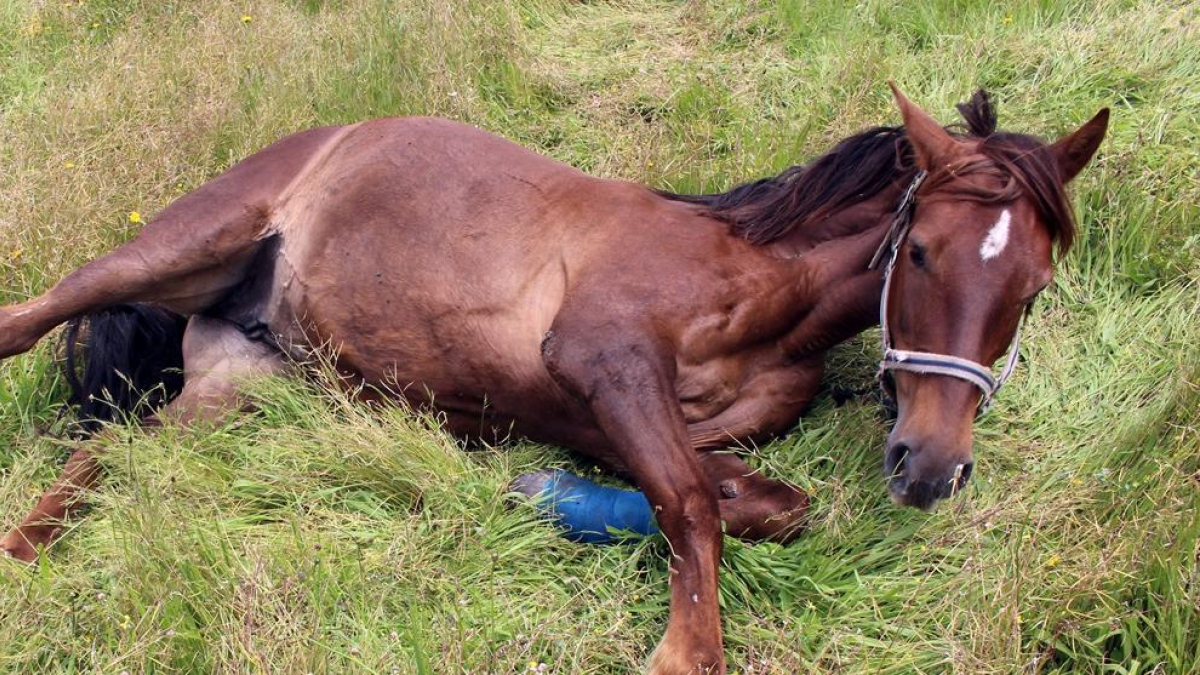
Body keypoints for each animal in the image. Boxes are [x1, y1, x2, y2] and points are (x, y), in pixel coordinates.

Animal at [0, 83, 1106, 675]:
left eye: (1034, 284)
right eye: (919, 252)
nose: (930, 467)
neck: (760, 275)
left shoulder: (623, 419)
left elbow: (748, 502)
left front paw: (547, 496)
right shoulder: (602, 359)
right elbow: (690, 505)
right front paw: (682, 649)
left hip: (246, 384)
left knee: (120, 448)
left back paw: (27, 550)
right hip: (181, 246)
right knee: (27, 325)